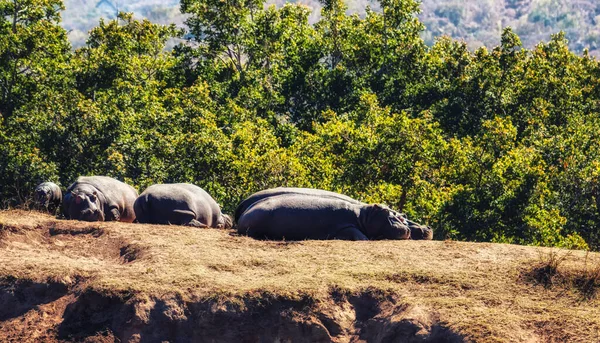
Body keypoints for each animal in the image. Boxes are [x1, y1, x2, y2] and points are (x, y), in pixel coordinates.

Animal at [232, 187, 434, 241]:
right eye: (386, 211)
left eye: (400, 214)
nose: (428, 227)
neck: (363, 215)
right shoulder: (346, 226)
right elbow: (359, 235)